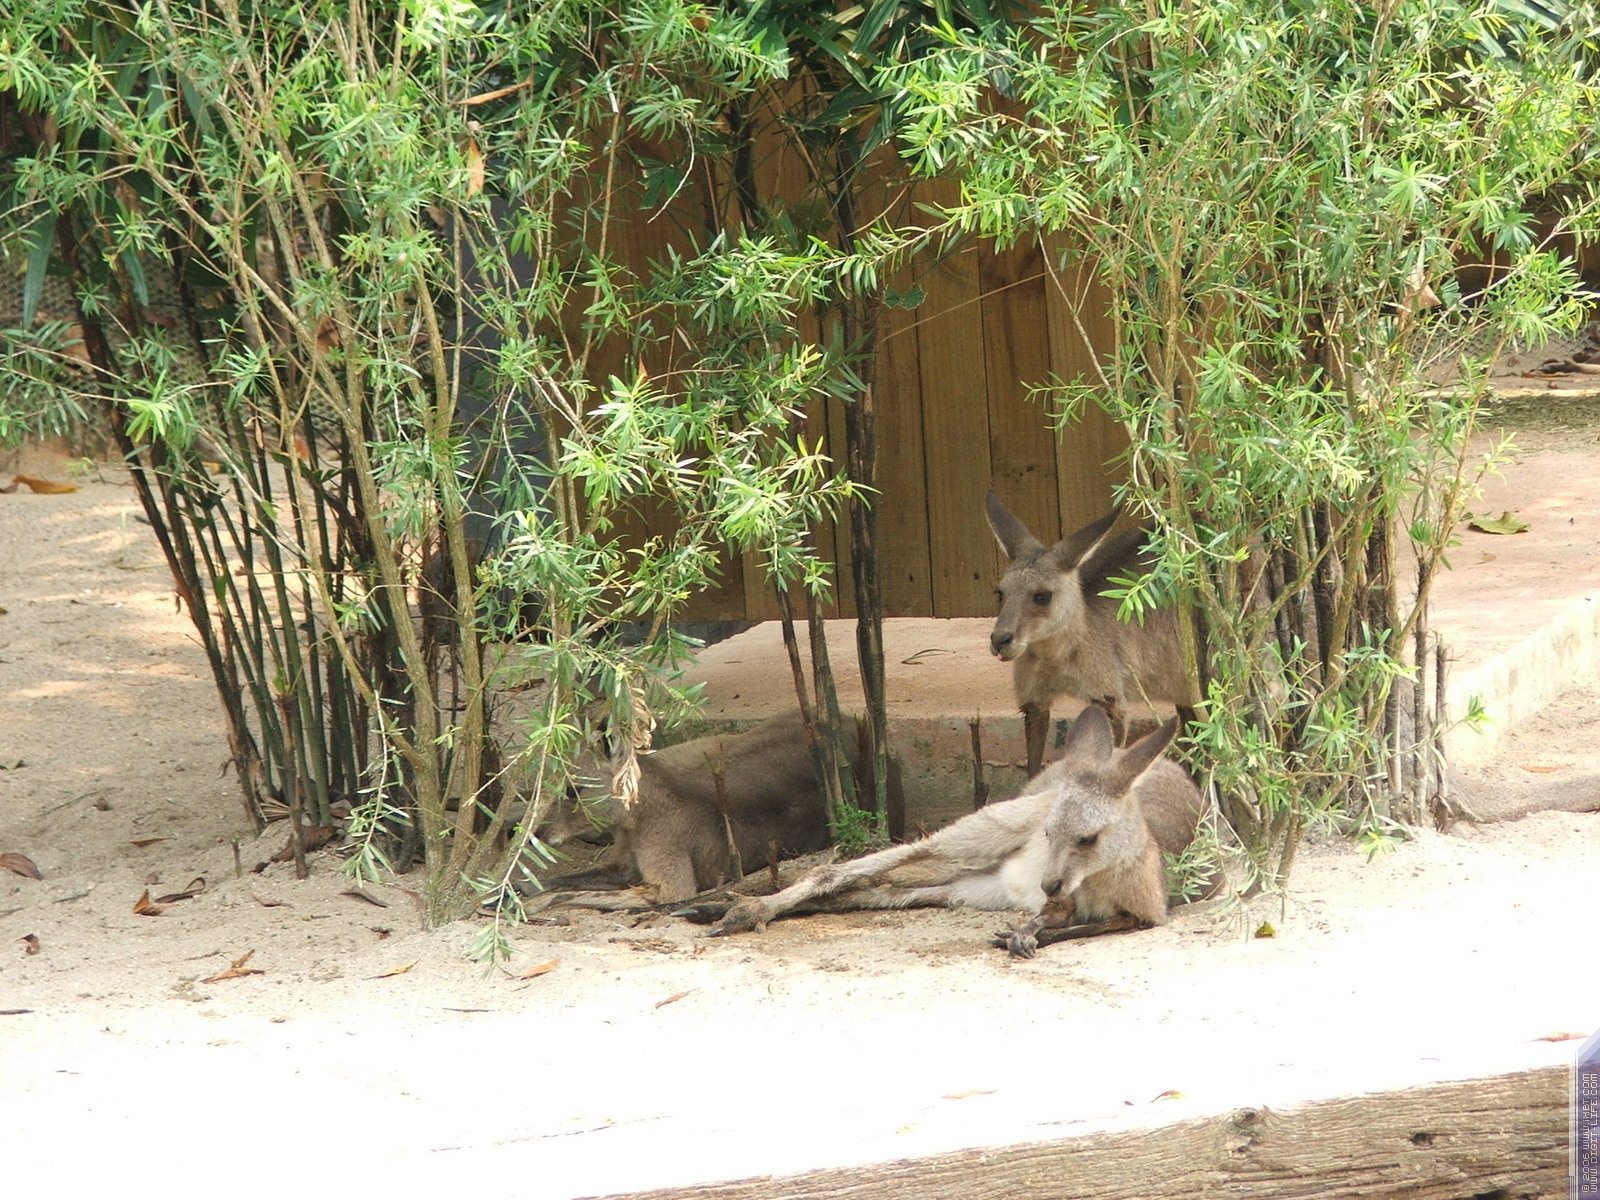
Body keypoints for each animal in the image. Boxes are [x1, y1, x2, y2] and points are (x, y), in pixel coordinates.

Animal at [540, 712, 904, 906]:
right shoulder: (625, 865)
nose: (542, 833)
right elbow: (563, 880)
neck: (636, 821)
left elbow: (624, 895)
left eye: (573, 790)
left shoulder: (673, 879)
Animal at [703, 705, 1206, 955]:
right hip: (990, 828)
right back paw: (739, 911)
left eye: (1088, 839)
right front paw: (1024, 933)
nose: (1047, 883)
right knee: (854, 870)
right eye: (1049, 835)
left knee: (882, 891)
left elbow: (1089, 925)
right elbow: (1059, 916)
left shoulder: (1145, 911)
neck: (1101, 878)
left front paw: (1023, 936)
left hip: (973, 887)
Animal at [985, 490, 1200, 775]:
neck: (1055, 656)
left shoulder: (1110, 694)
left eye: (1042, 597)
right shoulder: (1033, 701)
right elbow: (1033, 761)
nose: (1000, 641)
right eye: (1000, 593)